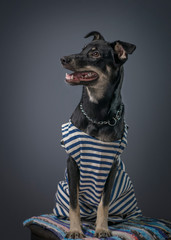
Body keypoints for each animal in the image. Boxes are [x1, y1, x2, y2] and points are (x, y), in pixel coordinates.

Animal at [58, 31, 137, 238]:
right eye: (81, 49)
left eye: (95, 54)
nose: (63, 58)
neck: (97, 116)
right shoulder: (73, 163)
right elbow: (74, 202)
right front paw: (75, 230)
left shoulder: (112, 166)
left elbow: (104, 203)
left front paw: (102, 229)